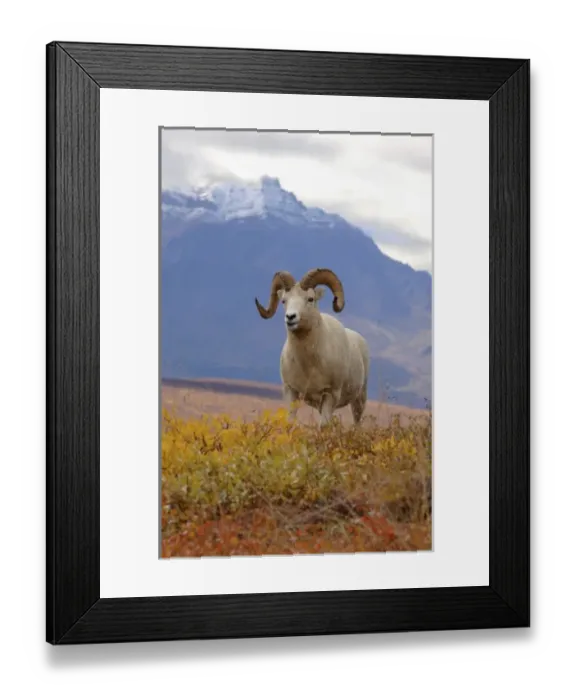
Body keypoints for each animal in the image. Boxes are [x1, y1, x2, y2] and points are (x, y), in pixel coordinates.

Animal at [255, 268, 370, 426]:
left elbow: (324, 426)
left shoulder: (330, 394)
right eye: (284, 300)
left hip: (359, 400)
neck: (309, 366)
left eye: (310, 299)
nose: (290, 317)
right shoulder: (291, 391)